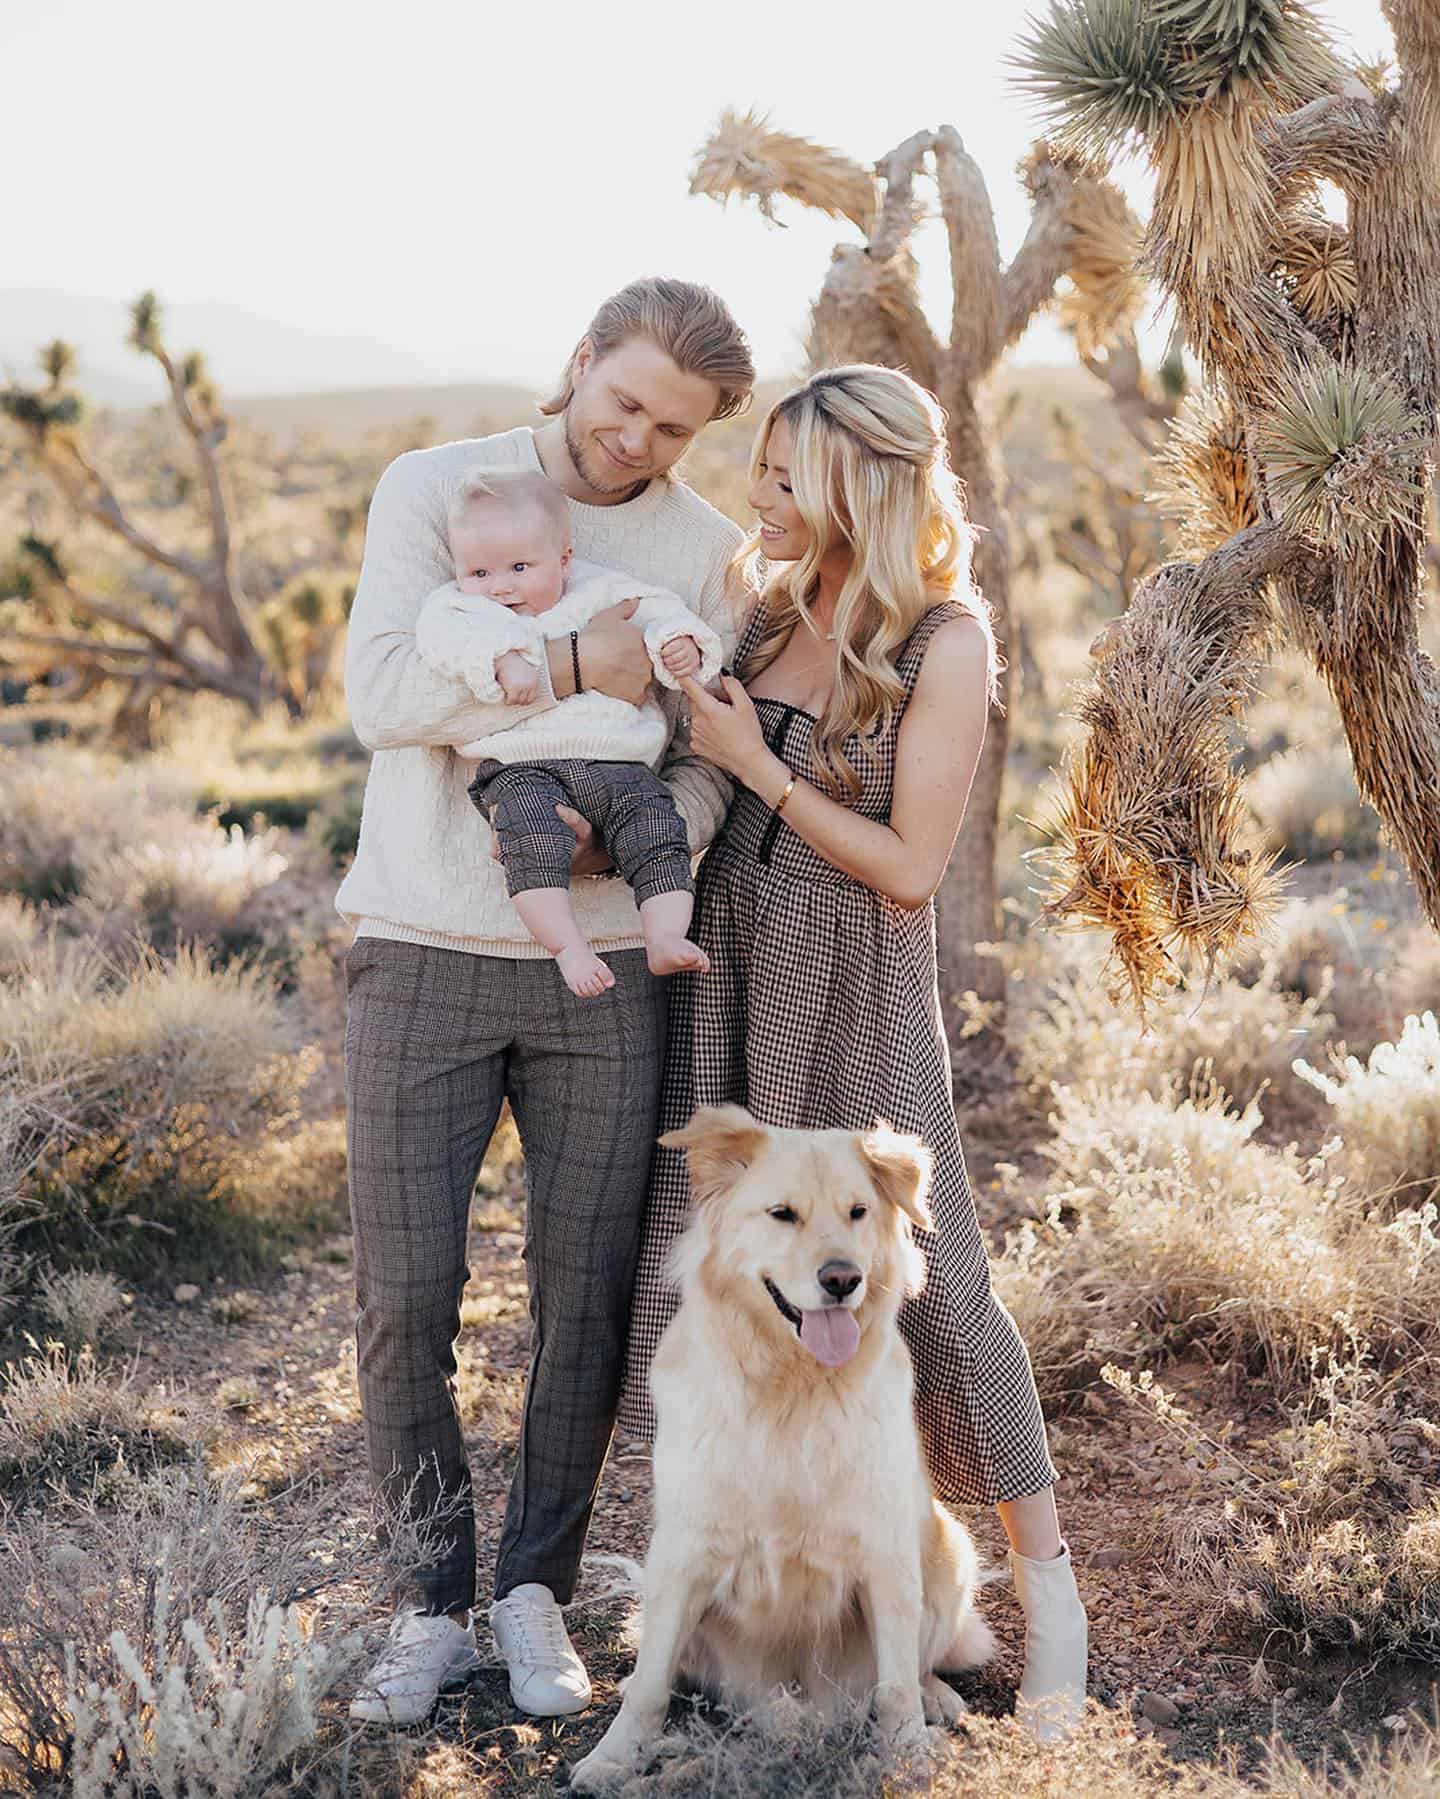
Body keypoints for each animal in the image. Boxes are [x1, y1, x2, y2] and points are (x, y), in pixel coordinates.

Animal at [568, 1093, 993, 1784]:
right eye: (782, 1215)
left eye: (857, 1212)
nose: (842, 1279)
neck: (790, 1388)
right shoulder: (683, 1551)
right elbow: (650, 1683)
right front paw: (613, 1757)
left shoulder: (885, 1553)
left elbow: (895, 1684)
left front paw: (908, 1755)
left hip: (949, 1551)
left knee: (916, 1664)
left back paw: (937, 1697)